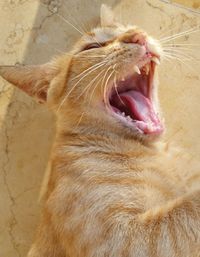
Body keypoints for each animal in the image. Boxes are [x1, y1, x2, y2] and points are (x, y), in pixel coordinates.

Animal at [0, 3, 200, 256]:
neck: (154, 150)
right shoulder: (120, 241)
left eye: (129, 27)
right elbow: (183, 212)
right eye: (92, 47)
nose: (137, 34)